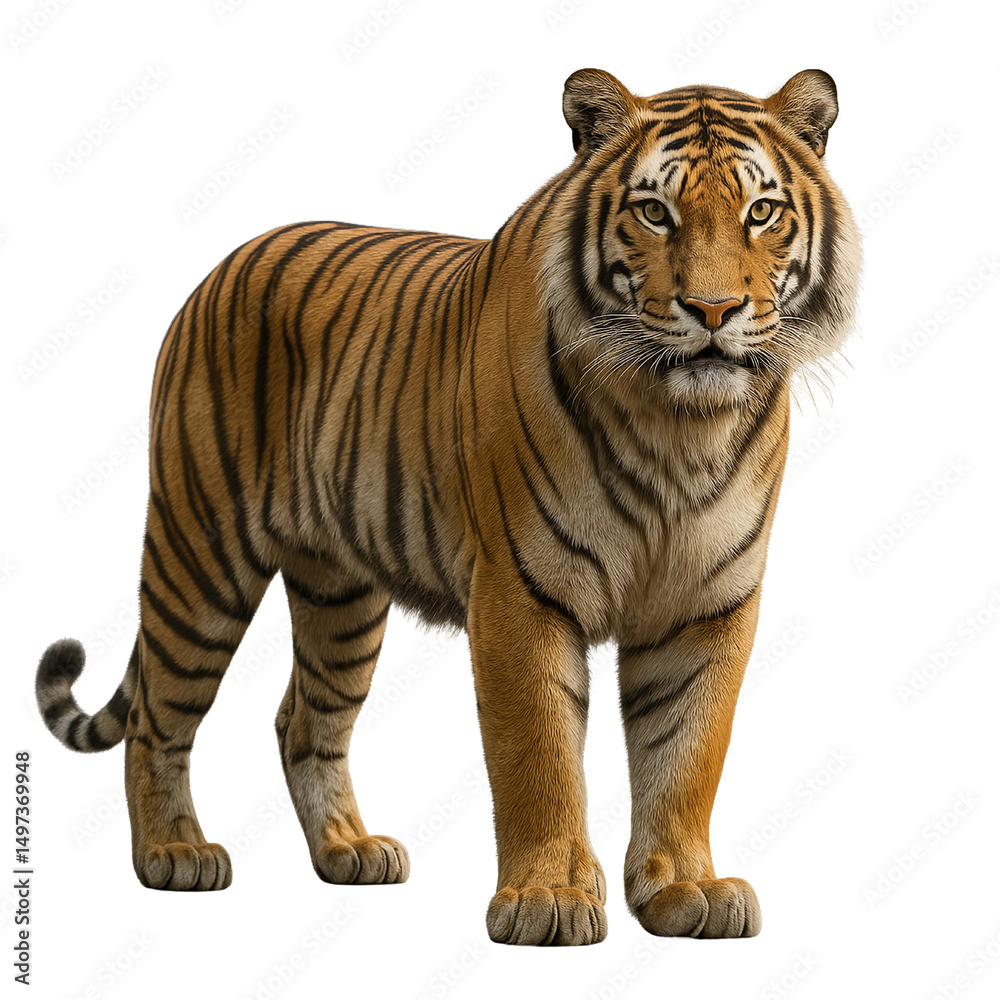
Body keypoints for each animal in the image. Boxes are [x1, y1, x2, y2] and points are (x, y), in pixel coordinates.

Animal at [36, 67, 860, 946]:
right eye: (654, 213)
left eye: (761, 213)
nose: (712, 312)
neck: (678, 426)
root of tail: (221, 266)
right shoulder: (521, 592)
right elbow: (537, 752)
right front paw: (547, 899)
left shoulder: (708, 604)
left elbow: (687, 754)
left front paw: (684, 890)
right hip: (201, 554)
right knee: (157, 714)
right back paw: (174, 854)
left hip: (341, 598)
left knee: (304, 721)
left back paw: (349, 850)